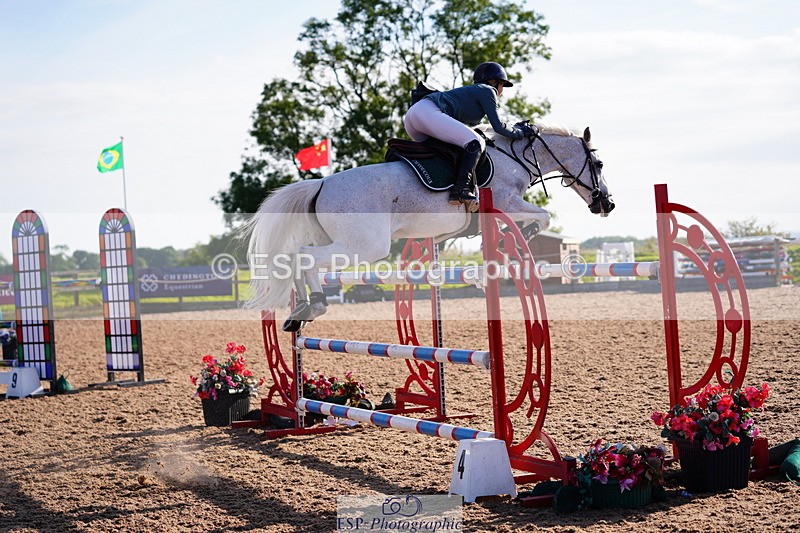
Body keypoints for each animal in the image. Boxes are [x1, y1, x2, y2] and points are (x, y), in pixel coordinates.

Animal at [243, 122, 614, 331]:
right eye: (597, 163)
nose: (607, 204)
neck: (514, 157)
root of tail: (321, 184)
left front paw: (487, 260)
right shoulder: (507, 203)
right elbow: (542, 217)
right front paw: (515, 241)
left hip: (340, 240)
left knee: (294, 256)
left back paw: (301, 311)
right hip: (364, 246)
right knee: (304, 256)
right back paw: (316, 304)